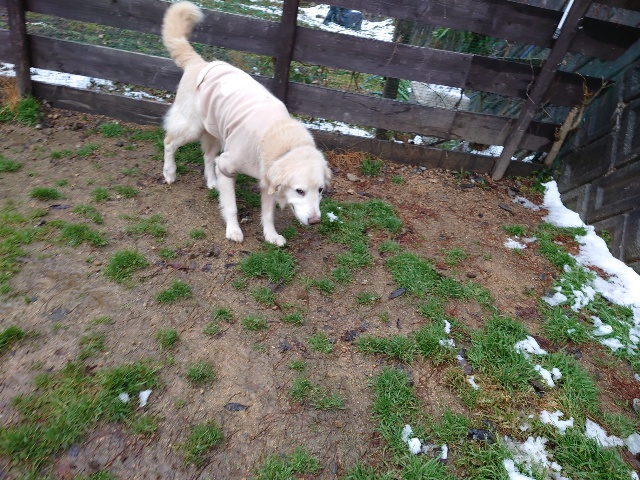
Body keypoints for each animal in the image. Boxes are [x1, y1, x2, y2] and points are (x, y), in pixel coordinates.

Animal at [161, 1, 331, 246]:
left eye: (320, 190)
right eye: (299, 191)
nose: (315, 221)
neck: (284, 145)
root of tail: (199, 62)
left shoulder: (267, 182)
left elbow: (268, 214)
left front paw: (271, 235)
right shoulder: (228, 166)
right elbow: (231, 207)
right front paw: (233, 231)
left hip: (215, 131)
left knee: (208, 157)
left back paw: (211, 182)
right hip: (191, 128)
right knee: (169, 142)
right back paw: (169, 173)